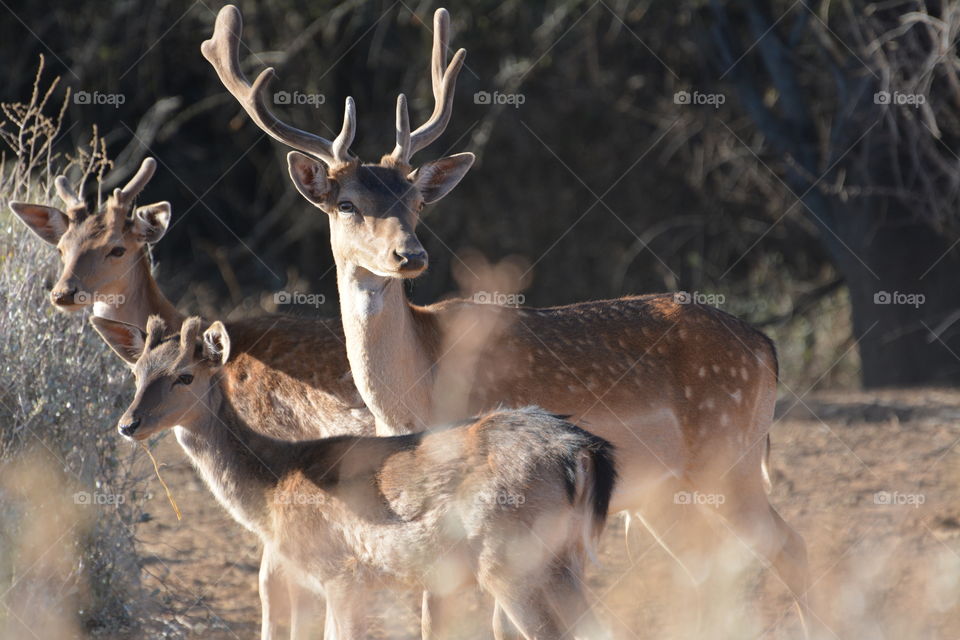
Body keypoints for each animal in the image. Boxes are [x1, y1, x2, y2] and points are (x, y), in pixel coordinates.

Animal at [90, 316, 616, 640]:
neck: (272, 489)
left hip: (512, 562)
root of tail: (582, 452)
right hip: (567, 559)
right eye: (136, 372)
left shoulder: (341, 571)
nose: (128, 424)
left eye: (185, 376)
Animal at [206, 3, 820, 636]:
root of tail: (766, 347)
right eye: (346, 203)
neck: (415, 390)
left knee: (788, 548)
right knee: (705, 574)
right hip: (666, 491)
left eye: (416, 201)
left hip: (729, 457)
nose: (411, 255)